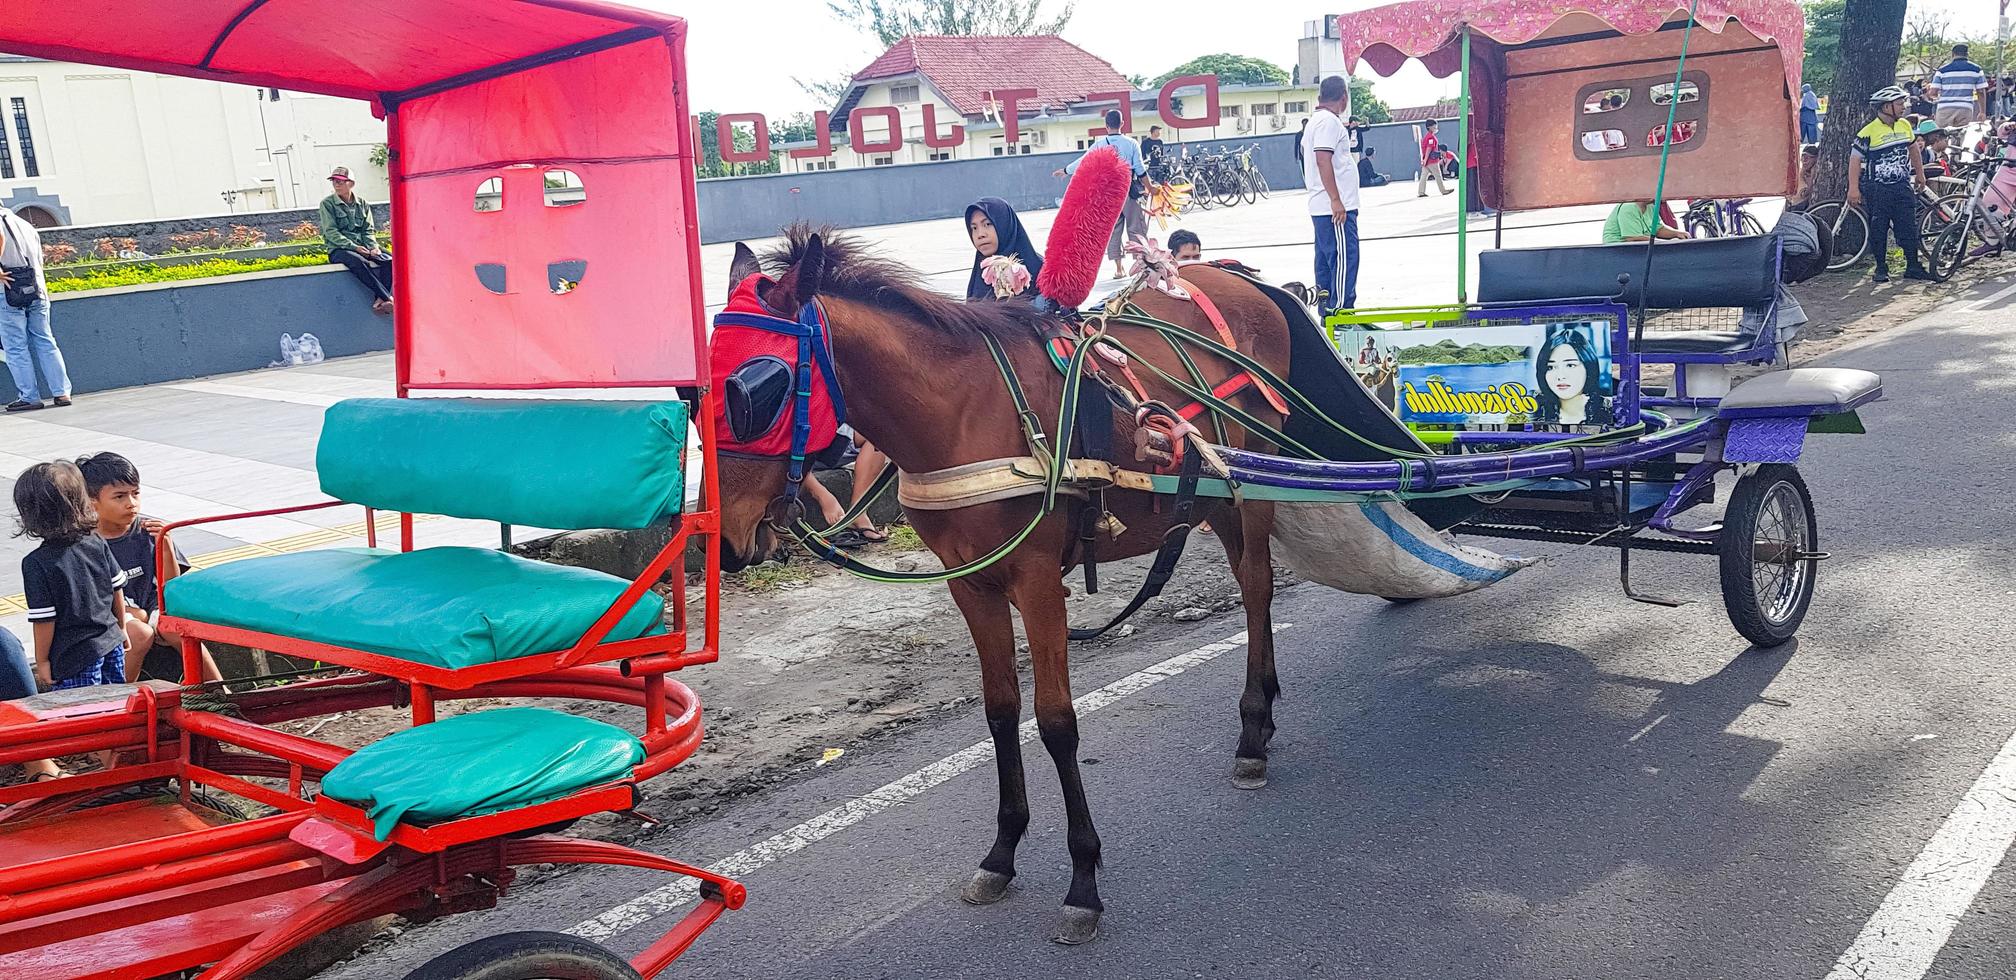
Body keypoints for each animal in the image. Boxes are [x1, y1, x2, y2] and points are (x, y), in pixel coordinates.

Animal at [717, 225, 1298, 943]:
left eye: (756, 390)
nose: (724, 541)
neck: (963, 414)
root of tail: (1237, 278)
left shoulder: (1038, 579)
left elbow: (1055, 722)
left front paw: (1083, 880)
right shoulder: (972, 586)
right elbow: (999, 712)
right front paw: (1002, 851)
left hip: (1260, 481)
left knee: (1257, 585)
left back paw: (1251, 731)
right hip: (1216, 494)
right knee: (1249, 580)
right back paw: (1262, 712)